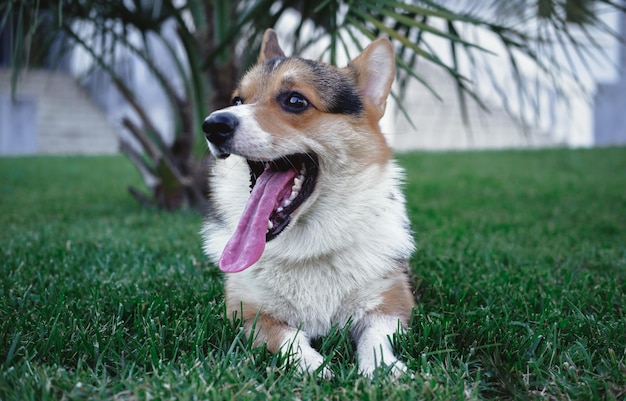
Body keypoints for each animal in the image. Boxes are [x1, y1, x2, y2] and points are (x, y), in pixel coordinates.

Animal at [201, 29, 414, 376]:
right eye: (237, 101)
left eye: (295, 101)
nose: (212, 125)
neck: (308, 245)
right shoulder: (248, 313)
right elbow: (289, 338)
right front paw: (317, 369)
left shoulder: (391, 301)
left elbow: (376, 338)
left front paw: (386, 371)